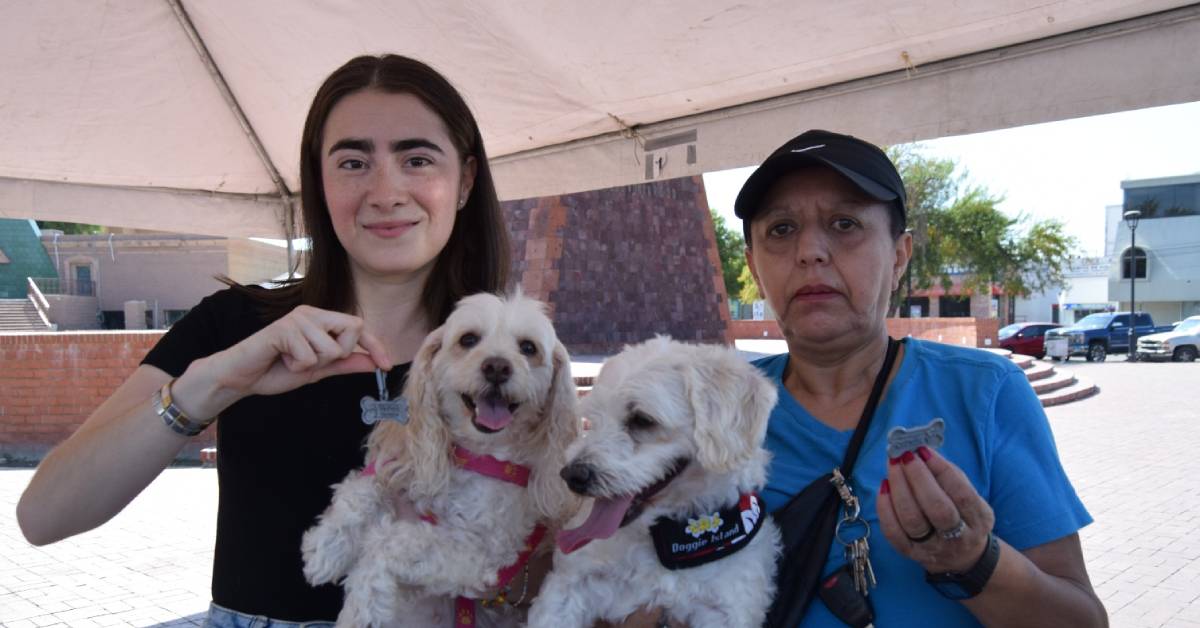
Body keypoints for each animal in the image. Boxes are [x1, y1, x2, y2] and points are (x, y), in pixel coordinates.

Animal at [302, 292, 581, 627]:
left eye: (528, 347)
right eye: (468, 339)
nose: (497, 366)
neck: (475, 455)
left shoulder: (485, 552)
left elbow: (387, 544)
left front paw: (360, 608)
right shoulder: (407, 463)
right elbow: (362, 485)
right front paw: (325, 546)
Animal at [527, 336, 781, 628]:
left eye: (642, 419)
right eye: (593, 419)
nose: (572, 475)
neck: (670, 540)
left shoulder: (726, 611)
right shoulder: (571, 582)